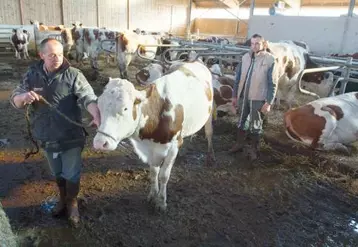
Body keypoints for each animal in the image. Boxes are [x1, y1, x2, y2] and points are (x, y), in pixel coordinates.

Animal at [93, 60, 215, 211]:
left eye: (125, 108)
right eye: (99, 105)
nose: (100, 143)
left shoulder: (173, 146)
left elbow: (164, 175)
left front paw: (161, 202)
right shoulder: (150, 148)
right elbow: (153, 173)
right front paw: (152, 195)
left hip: (209, 114)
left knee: (209, 133)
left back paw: (210, 156)